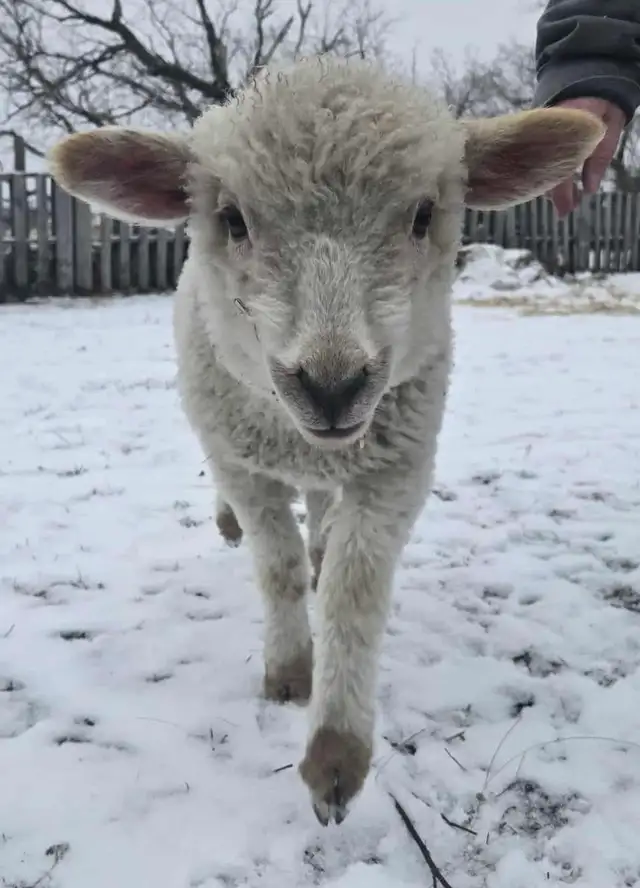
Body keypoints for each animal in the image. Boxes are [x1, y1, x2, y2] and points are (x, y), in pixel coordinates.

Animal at [48, 55, 603, 826]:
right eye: (232, 219)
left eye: (423, 214)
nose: (333, 386)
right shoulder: (245, 462)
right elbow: (275, 567)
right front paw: (288, 673)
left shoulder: (397, 468)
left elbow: (352, 591)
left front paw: (336, 752)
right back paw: (235, 524)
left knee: (319, 507)